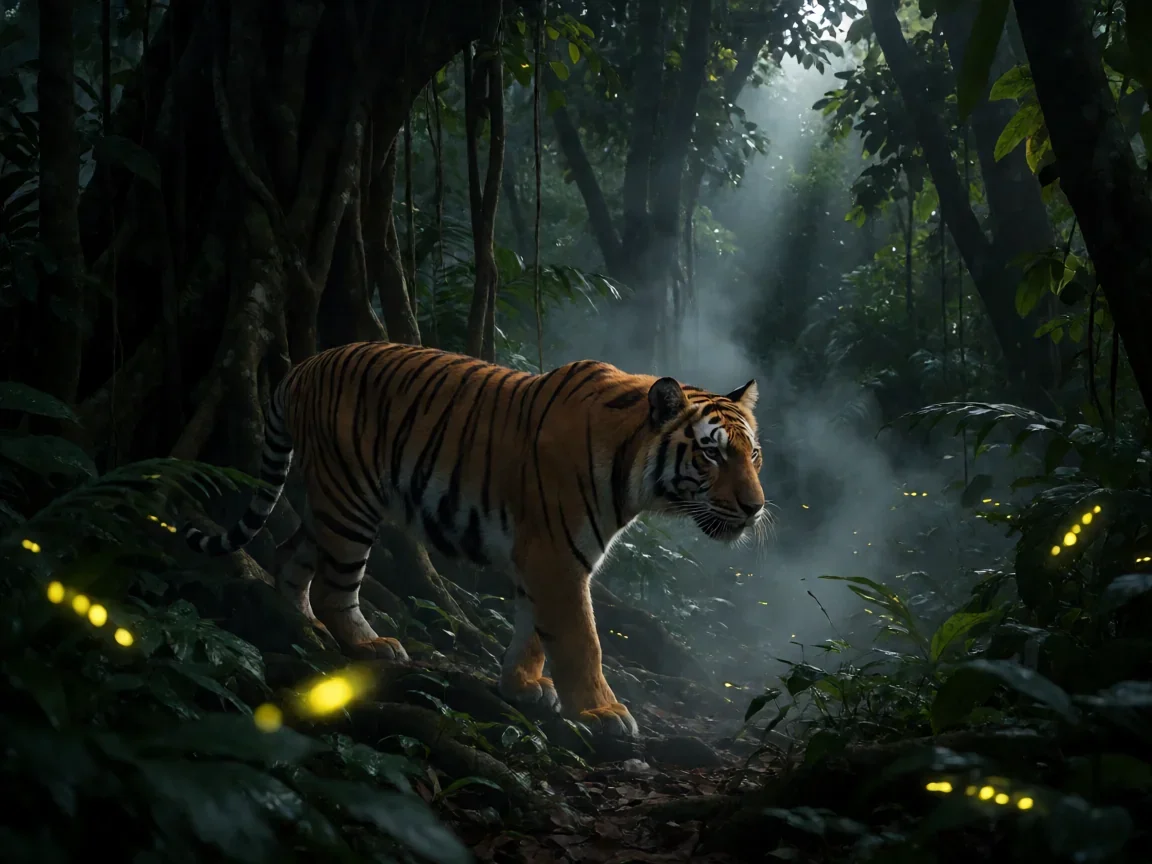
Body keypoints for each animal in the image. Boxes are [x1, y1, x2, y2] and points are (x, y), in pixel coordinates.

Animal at [185, 342, 767, 737]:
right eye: (712, 453)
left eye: (753, 455)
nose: (756, 507)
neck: (634, 475)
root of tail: (303, 365)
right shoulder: (557, 556)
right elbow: (581, 639)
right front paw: (603, 711)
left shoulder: (546, 557)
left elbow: (533, 631)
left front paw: (523, 687)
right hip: (350, 500)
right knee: (336, 586)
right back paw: (368, 643)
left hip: (330, 502)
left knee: (291, 555)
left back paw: (300, 624)